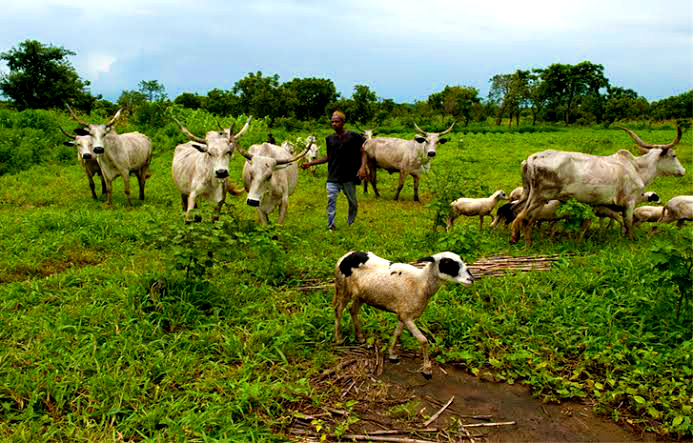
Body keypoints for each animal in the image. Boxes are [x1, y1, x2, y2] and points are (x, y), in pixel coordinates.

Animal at [332, 251, 474, 380]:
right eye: (447, 263)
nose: (471, 280)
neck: (421, 283)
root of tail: (346, 256)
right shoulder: (407, 317)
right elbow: (423, 340)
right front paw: (427, 370)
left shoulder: (403, 313)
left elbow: (398, 333)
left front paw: (392, 355)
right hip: (343, 288)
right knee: (338, 310)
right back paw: (339, 339)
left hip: (361, 295)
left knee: (353, 310)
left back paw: (360, 337)